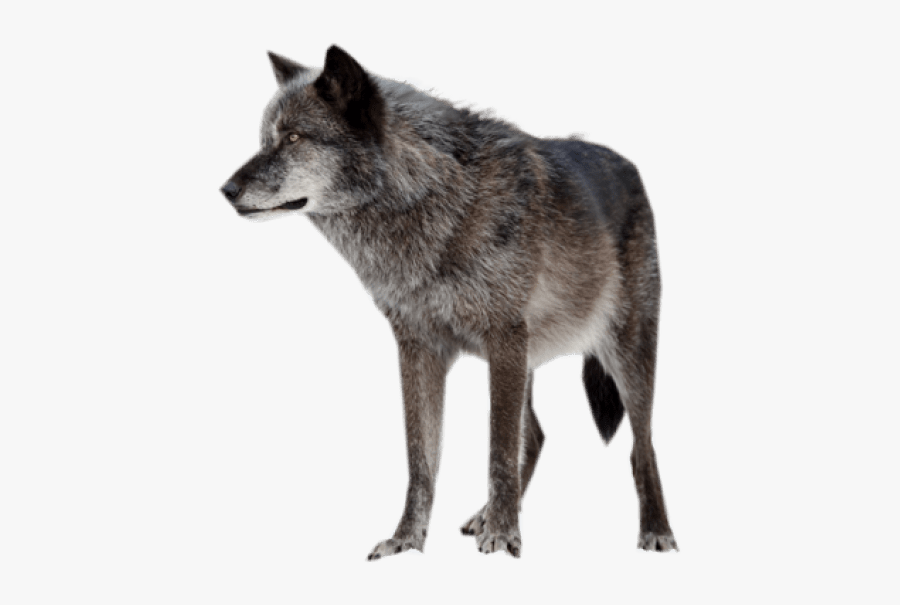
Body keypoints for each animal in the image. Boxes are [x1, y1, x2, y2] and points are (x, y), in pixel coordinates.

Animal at [220, 46, 678, 559]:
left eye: (294, 137)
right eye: (265, 139)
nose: (227, 190)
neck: (435, 200)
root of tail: (629, 166)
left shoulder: (503, 339)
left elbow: (498, 450)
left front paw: (503, 537)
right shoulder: (419, 348)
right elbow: (421, 460)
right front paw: (407, 541)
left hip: (625, 355)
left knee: (642, 445)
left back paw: (656, 532)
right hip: (532, 360)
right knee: (538, 435)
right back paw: (487, 514)